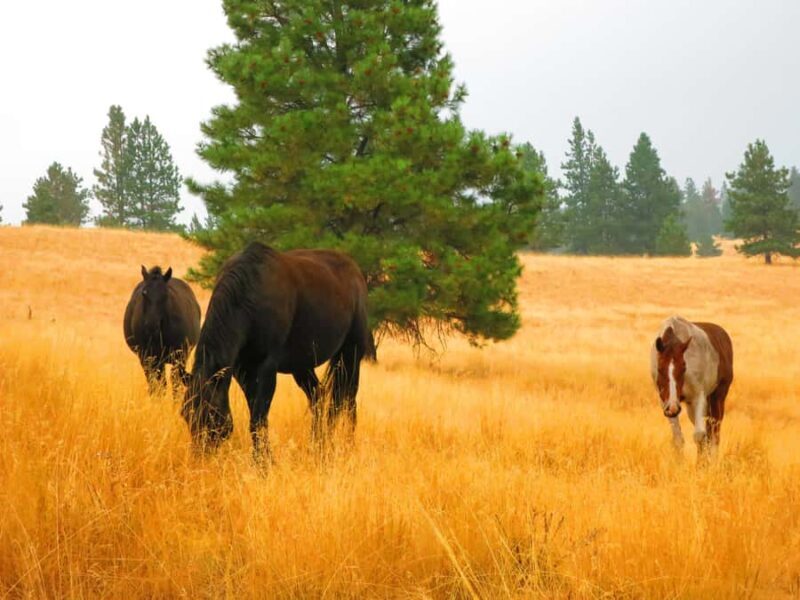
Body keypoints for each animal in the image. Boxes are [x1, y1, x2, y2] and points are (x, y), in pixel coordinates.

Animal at [124, 266, 201, 395]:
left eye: (165, 294)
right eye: (144, 293)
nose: (151, 326)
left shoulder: (179, 357)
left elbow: (175, 384)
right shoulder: (147, 358)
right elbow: (156, 384)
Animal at [181, 242, 376, 458]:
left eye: (211, 413)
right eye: (185, 414)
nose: (199, 455)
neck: (250, 294)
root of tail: (355, 271)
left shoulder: (266, 368)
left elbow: (258, 420)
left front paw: (263, 461)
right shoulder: (242, 369)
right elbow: (256, 415)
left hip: (351, 355)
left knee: (347, 401)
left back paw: (345, 444)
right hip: (302, 366)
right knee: (318, 396)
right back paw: (318, 445)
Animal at [650, 316, 733, 460]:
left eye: (684, 367)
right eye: (659, 368)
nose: (673, 407)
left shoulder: (698, 397)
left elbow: (699, 436)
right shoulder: (666, 402)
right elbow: (678, 439)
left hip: (717, 399)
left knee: (714, 434)